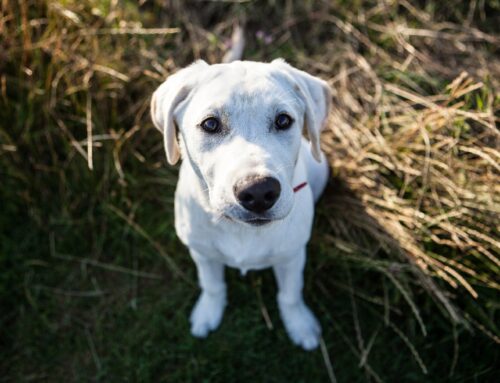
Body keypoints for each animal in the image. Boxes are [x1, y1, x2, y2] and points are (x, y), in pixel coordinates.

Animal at [150, 60, 330, 352]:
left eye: (283, 120)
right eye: (211, 124)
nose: (258, 192)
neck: (240, 229)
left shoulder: (292, 256)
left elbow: (290, 293)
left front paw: (300, 324)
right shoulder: (201, 252)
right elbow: (212, 284)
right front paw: (208, 313)